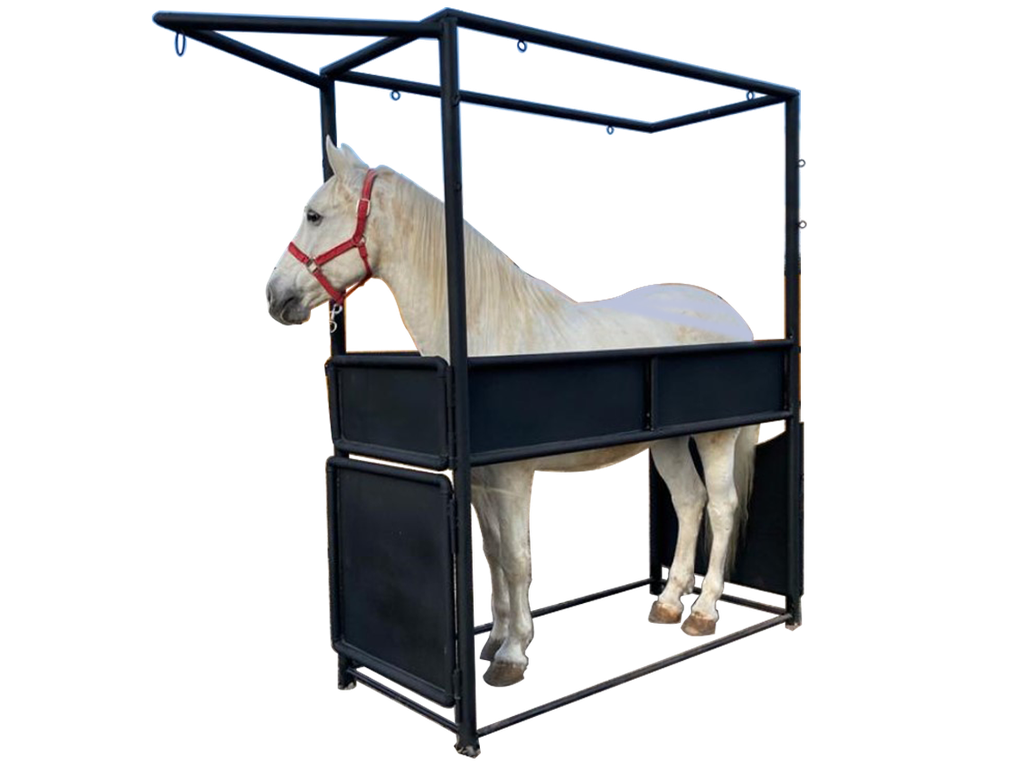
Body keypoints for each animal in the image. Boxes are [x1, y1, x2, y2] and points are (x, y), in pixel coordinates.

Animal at [265, 140, 761, 689]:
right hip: (670, 441)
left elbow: (518, 558)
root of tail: (730, 316)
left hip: (717, 438)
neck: (484, 331)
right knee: (691, 502)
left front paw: (513, 654)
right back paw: (670, 604)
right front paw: (497, 639)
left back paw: (704, 613)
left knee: (720, 507)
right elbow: (496, 556)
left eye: (313, 215)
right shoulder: (483, 480)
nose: (275, 296)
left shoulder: (512, 478)